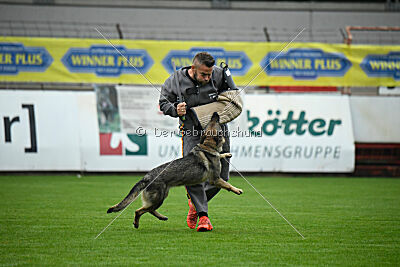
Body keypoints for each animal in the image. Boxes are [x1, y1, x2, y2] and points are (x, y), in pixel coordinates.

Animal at [106, 112, 242, 229]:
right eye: (215, 123)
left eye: (211, 122)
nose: (215, 113)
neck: (208, 145)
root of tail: (147, 177)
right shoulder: (216, 179)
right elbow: (228, 185)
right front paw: (237, 190)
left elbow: (220, 155)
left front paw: (226, 154)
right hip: (159, 198)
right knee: (139, 211)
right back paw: (137, 223)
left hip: (161, 197)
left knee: (148, 209)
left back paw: (161, 217)